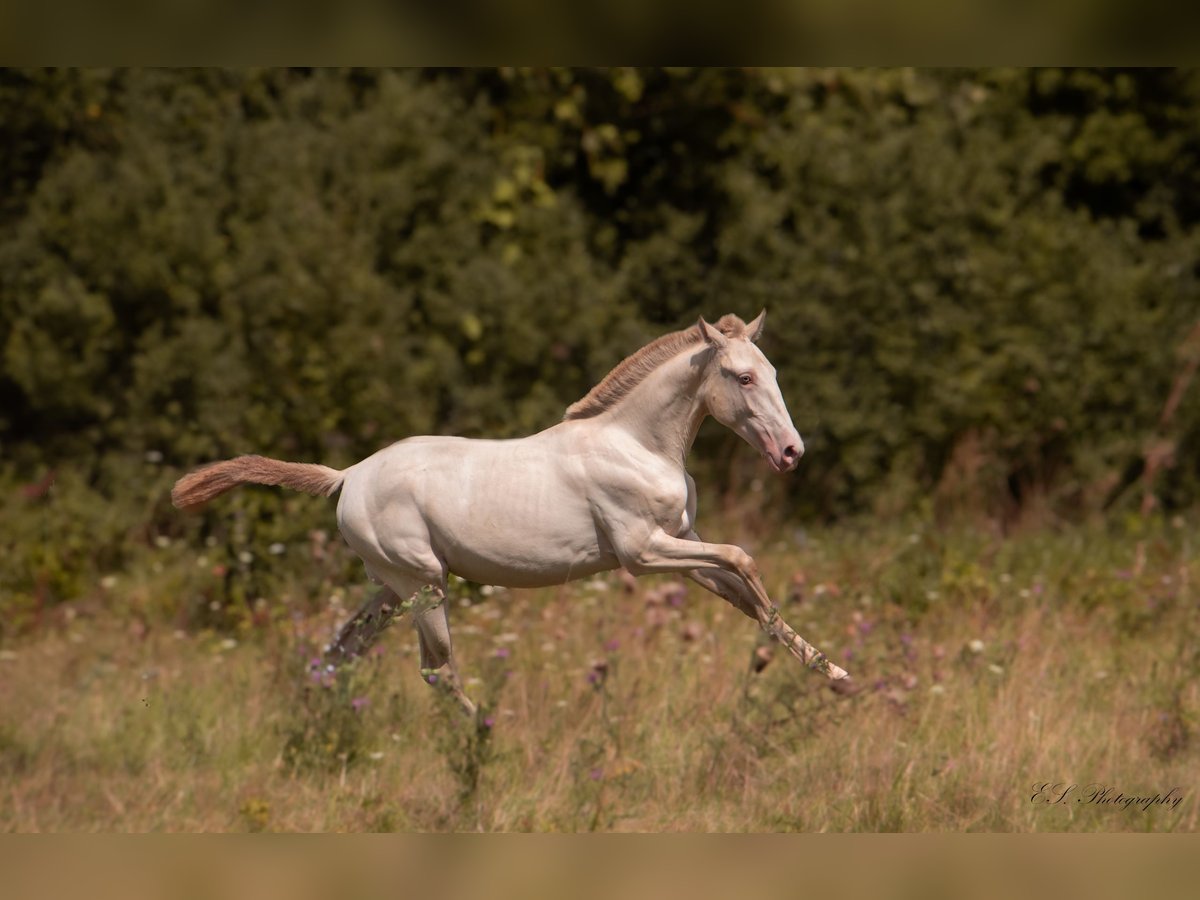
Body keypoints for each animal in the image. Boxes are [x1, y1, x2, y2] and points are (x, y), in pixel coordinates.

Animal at [174, 312, 849, 710]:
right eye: (742, 377)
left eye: (772, 371)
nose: (792, 452)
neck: (635, 445)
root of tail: (346, 478)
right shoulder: (642, 552)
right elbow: (744, 557)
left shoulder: (681, 544)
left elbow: (747, 593)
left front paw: (834, 672)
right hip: (425, 584)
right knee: (436, 672)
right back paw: (482, 740)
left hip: (390, 589)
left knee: (340, 653)